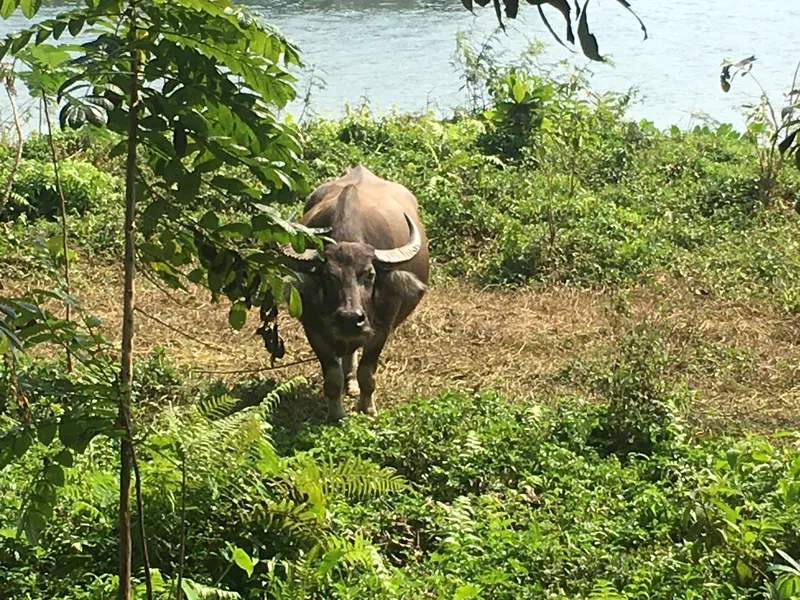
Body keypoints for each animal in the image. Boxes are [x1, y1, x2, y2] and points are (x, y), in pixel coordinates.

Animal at [282, 165, 432, 422]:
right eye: (328, 276)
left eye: (370, 275)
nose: (350, 318)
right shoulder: (313, 329)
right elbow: (332, 377)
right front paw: (336, 414)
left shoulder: (381, 329)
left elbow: (367, 372)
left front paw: (367, 408)